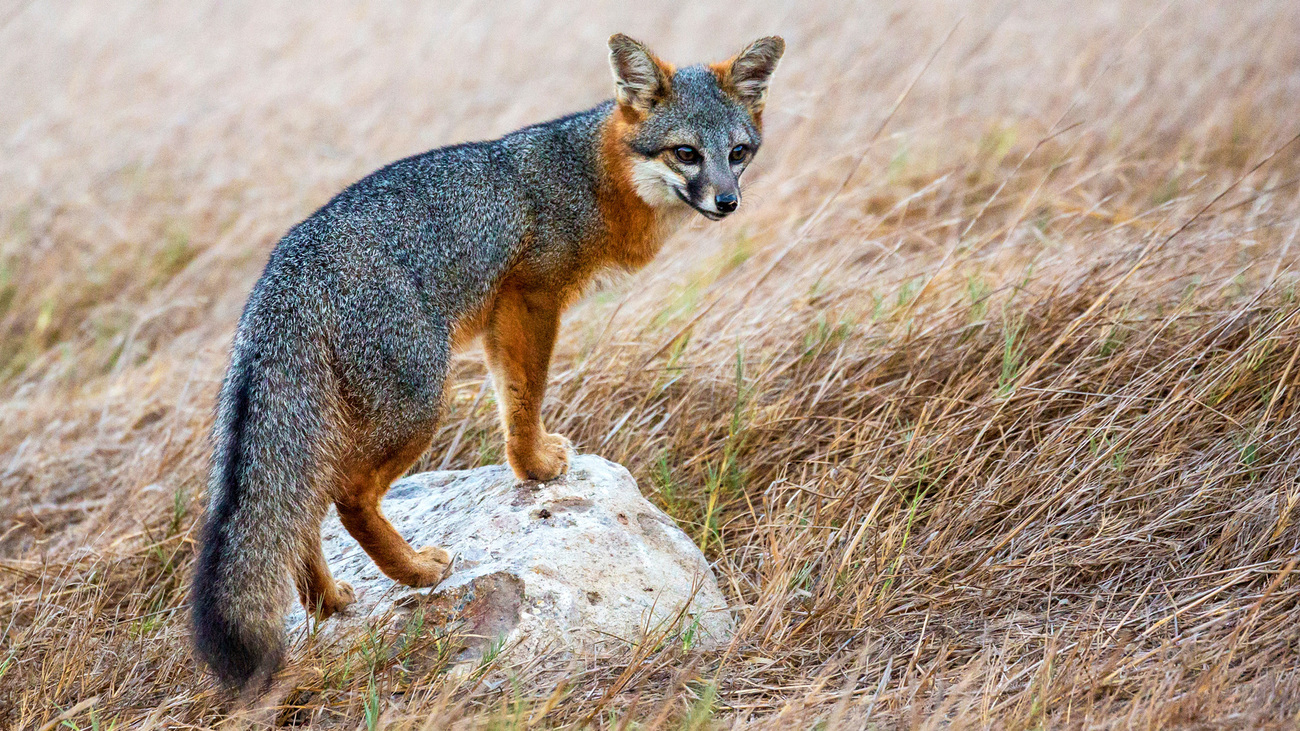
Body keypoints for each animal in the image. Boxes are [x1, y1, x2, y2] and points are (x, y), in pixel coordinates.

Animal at [189, 32, 780, 686]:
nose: (727, 201)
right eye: (686, 154)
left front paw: (529, 464)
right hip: (419, 404)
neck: (594, 175)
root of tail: (284, 271)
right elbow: (527, 394)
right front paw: (537, 467)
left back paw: (328, 600)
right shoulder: (532, 298)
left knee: (301, 510)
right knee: (348, 498)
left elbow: (511, 394)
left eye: (738, 152)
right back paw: (416, 571)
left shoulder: (502, 317)